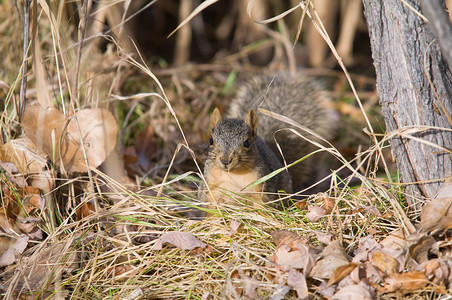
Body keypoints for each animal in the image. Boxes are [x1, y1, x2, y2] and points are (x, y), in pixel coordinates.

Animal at [200, 73, 338, 209]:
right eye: (211, 140)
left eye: (247, 142)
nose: (225, 161)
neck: (233, 175)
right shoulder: (211, 190)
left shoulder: (261, 189)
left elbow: (261, 207)